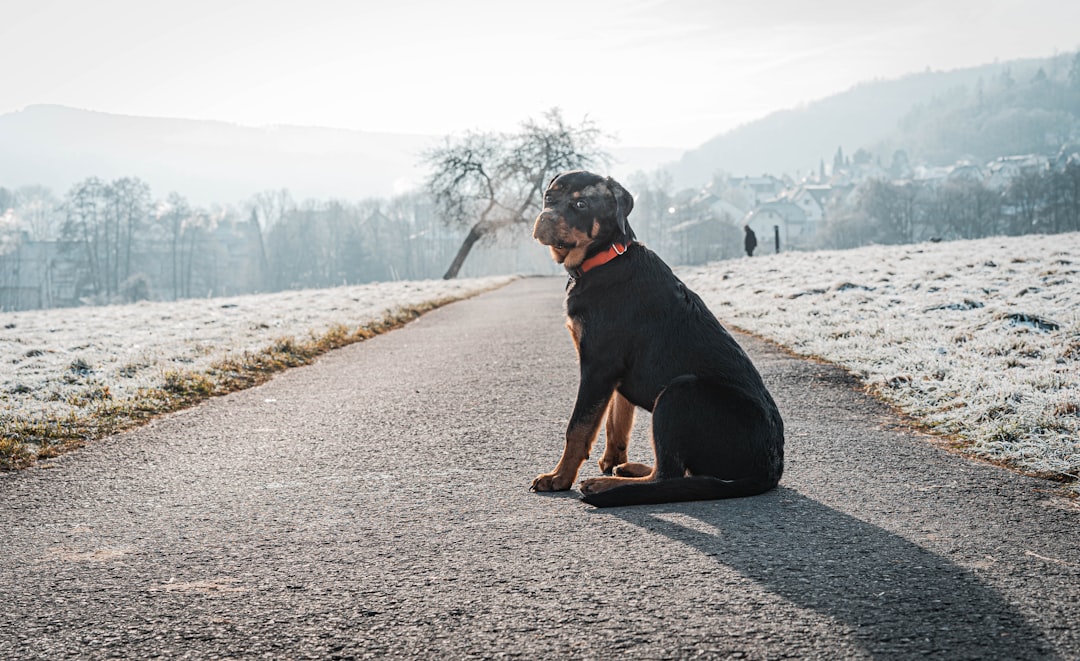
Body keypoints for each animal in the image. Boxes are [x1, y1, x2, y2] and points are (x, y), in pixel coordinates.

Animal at [531, 169, 786, 505]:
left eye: (581, 204)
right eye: (549, 197)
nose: (544, 219)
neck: (605, 259)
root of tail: (771, 467)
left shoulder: (598, 366)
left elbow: (579, 427)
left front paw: (559, 478)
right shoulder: (615, 375)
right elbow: (616, 423)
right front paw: (612, 461)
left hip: (679, 392)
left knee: (668, 475)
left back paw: (606, 486)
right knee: (676, 471)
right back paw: (628, 470)